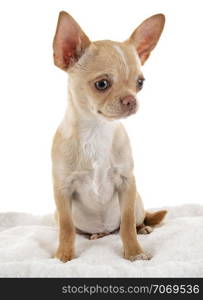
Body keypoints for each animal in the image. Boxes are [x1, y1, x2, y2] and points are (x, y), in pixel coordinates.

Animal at [52, 10, 167, 262]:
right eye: (102, 84)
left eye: (140, 83)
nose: (132, 100)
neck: (97, 130)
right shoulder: (62, 190)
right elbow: (66, 227)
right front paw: (64, 254)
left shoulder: (127, 183)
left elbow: (126, 224)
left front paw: (134, 252)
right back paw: (96, 235)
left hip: (138, 202)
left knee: (133, 221)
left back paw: (143, 227)